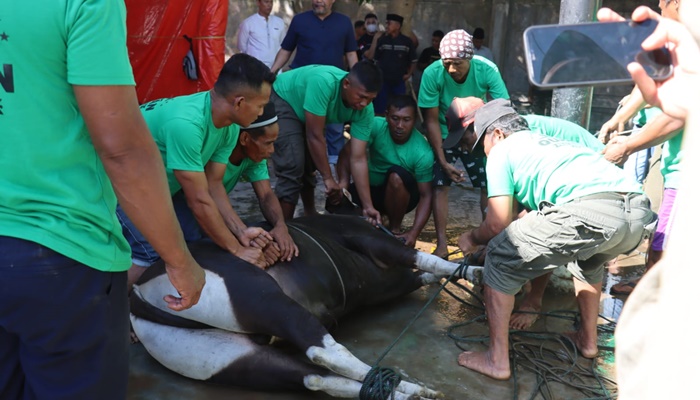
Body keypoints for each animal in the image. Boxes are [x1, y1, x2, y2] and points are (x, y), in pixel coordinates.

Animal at [131, 216, 482, 400]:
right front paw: (473, 271)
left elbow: (422, 273)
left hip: (215, 355)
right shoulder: (369, 240)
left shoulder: (385, 286)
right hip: (252, 293)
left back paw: (406, 391)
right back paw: (412, 388)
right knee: (323, 351)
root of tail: (139, 295)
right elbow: (424, 259)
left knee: (312, 377)